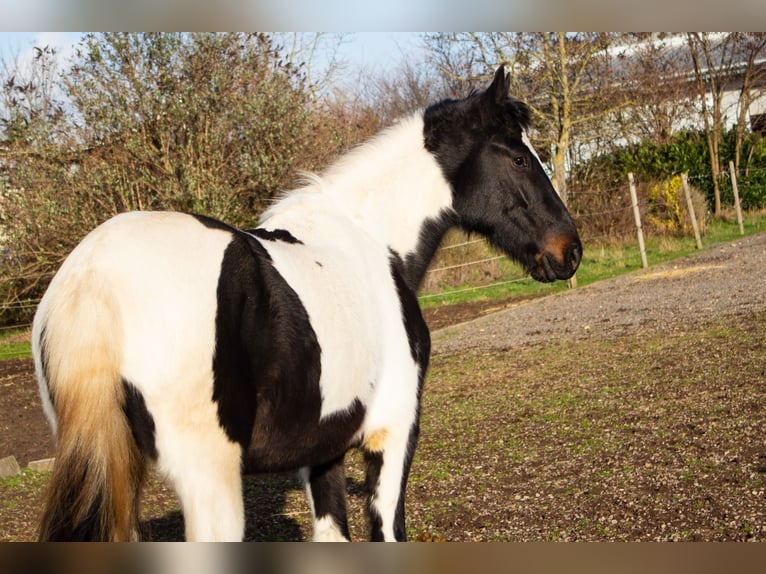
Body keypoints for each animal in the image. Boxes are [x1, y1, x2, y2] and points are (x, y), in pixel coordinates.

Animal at [30, 67, 584, 544]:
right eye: (518, 157)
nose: (570, 251)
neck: (372, 240)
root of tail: (92, 275)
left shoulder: (325, 451)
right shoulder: (394, 434)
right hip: (209, 483)